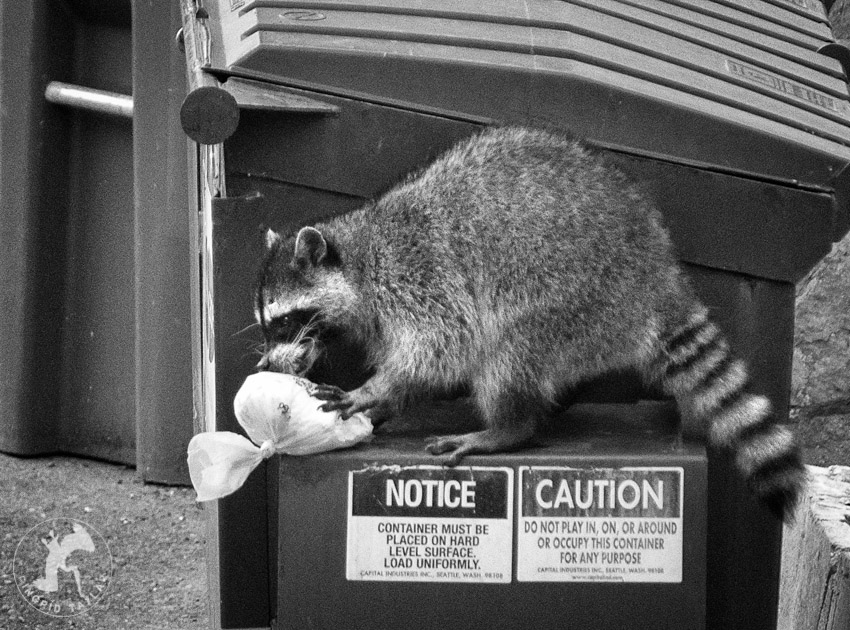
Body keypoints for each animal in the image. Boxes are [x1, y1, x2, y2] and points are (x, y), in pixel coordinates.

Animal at [255, 126, 804, 520]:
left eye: (283, 322)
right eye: (266, 326)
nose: (267, 364)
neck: (360, 253)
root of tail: (659, 274)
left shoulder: (420, 277)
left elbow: (443, 347)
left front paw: (375, 390)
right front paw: (388, 399)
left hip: (574, 294)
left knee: (507, 350)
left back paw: (507, 428)